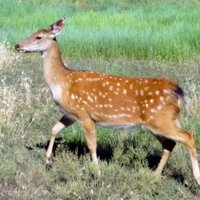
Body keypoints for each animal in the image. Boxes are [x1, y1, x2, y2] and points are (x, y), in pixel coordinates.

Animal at [15, 17, 200, 184]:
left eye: (39, 37)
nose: (18, 45)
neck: (61, 83)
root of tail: (178, 91)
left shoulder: (84, 114)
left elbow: (91, 145)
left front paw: (97, 173)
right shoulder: (71, 114)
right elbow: (54, 129)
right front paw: (48, 161)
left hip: (160, 119)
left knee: (188, 136)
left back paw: (196, 178)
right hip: (157, 122)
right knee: (170, 144)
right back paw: (154, 176)